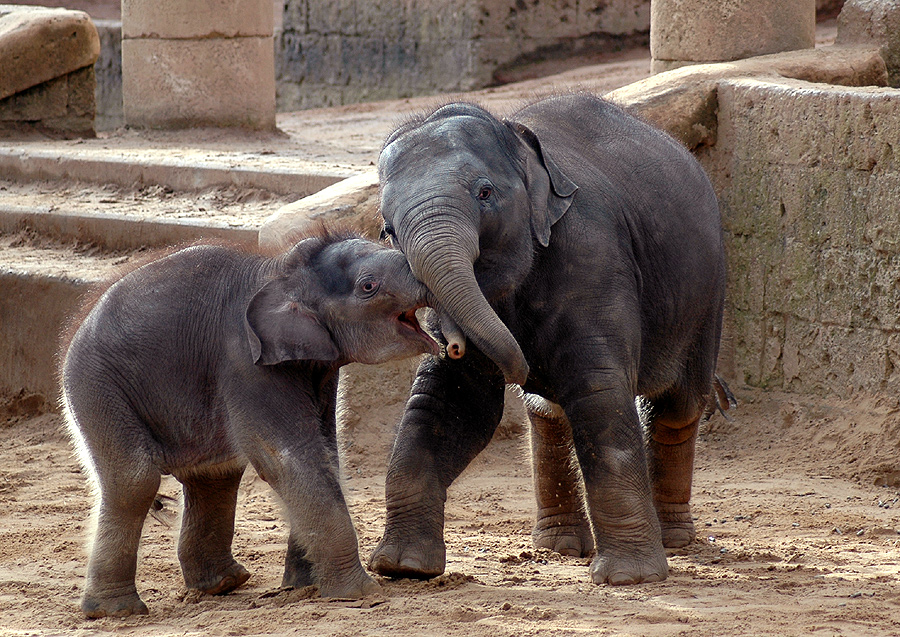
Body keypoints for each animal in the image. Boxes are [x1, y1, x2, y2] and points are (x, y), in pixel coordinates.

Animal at [60, 230, 440, 616]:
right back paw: (116, 612)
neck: (282, 271)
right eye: (369, 286)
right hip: (98, 387)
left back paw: (223, 584)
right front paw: (359, 593)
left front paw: (304, 587)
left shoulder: (318, 369)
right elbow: (290, 460)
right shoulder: (247, 364)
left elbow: (326, 453)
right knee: (134, 480)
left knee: (214, 475)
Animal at [370, 93, 728, 588]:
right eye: (387, 230)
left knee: (678, 405)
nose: (453, 342)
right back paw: (558, 546)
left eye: (484, 194)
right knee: (547, 413)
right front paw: (402, 567)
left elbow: (598, 396)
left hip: (705, 294)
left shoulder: (592, 258)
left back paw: (673, 539)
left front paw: (629, 578)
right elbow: (451, 402)